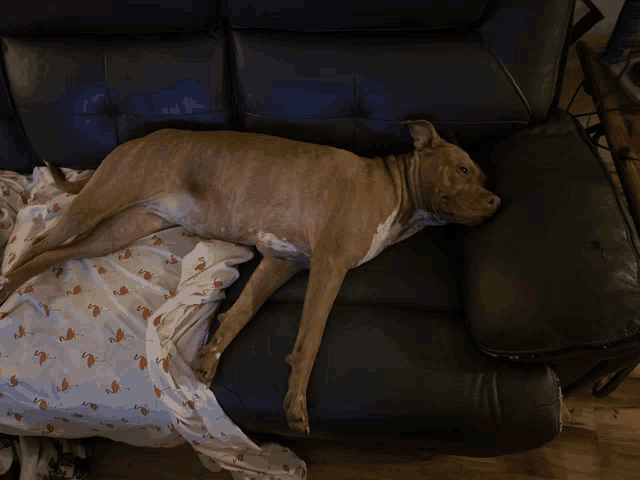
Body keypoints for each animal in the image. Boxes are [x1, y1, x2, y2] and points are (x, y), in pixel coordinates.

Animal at [0, 121, 500, 436]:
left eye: (483, 174)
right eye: (462, 169)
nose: (497, 201)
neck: (398, 191)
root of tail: (127, 144)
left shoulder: (281, 262)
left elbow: (240, 312)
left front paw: (208, 360)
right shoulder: (329, 266)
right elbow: (310, 338)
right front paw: (295, 405)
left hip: (119, 228)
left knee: (54, 253)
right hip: (101, 201)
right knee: (38, 242)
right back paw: (6, 285)